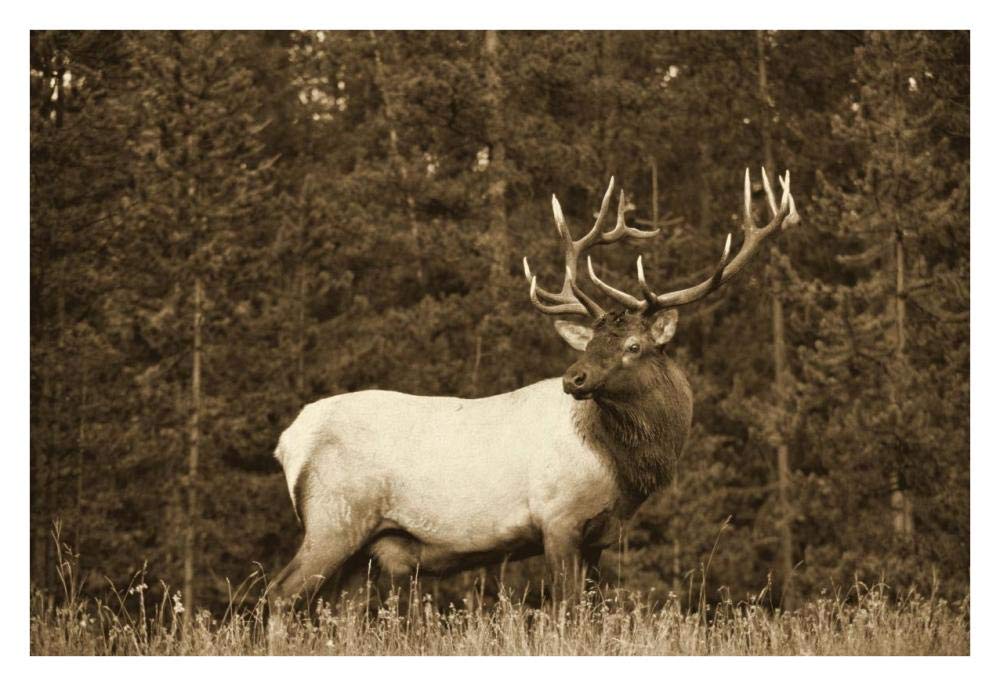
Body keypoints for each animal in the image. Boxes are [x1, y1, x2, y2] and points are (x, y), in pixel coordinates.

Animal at [267, 169, 798, 607]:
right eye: (592, 342)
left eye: (632, 345)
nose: (573, 378)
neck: (620, 468)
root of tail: (289, 441)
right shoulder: (557, 517)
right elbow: (567, 609)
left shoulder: (599, 537)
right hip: (334, 517)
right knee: (279, 594)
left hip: (362, 546)